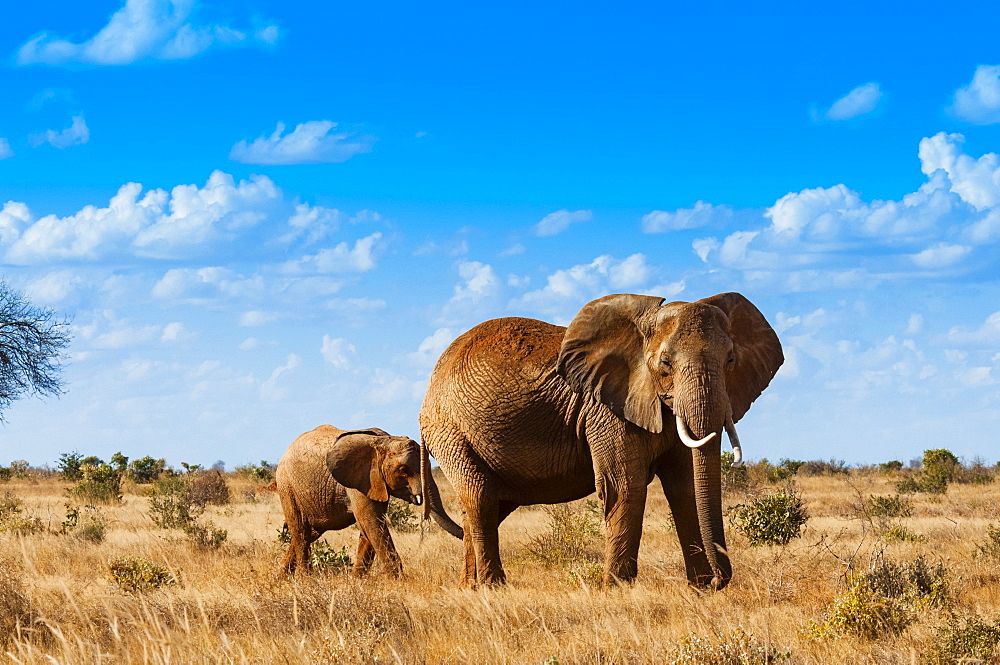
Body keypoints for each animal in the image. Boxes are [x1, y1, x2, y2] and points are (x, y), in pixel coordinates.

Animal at [274, 426, 460, 576]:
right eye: (403, 470)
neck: (384, 441)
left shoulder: (375, 483)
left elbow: (369, 527)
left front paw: (357, 580)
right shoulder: (361, 481)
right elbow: (372, 523)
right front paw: (399, 581)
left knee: (311, 532)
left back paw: (282, 575)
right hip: (287, 485)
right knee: (300, 529)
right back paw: (304, 578)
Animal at [418, 290, 784, 588]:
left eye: (731, 360)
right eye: (665, 363)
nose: (721, 580)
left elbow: (685, 488)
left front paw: (700, 589)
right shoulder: (607, 410)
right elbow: (625, 486)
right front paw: (618, 591)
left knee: (487, 506)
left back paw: (470, 588)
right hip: (449, 430)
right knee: (480, 498)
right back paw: (494, 588)